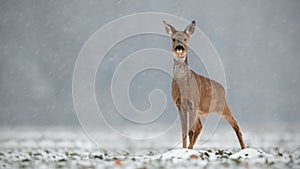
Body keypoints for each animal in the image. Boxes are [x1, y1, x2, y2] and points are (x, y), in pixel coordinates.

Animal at [163, 20, 245, 149]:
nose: (179, 47)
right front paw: (184, 149)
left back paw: (244, 148)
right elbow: (184, 131)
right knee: (200, 127)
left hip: (221, 105)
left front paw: (188, 150)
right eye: (173, 39)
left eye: (186, 39)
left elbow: (190, 131)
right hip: (201, 111)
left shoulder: (193, 103)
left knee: (235, 123)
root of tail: (223, 89)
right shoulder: (180, 105)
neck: (183, 86)